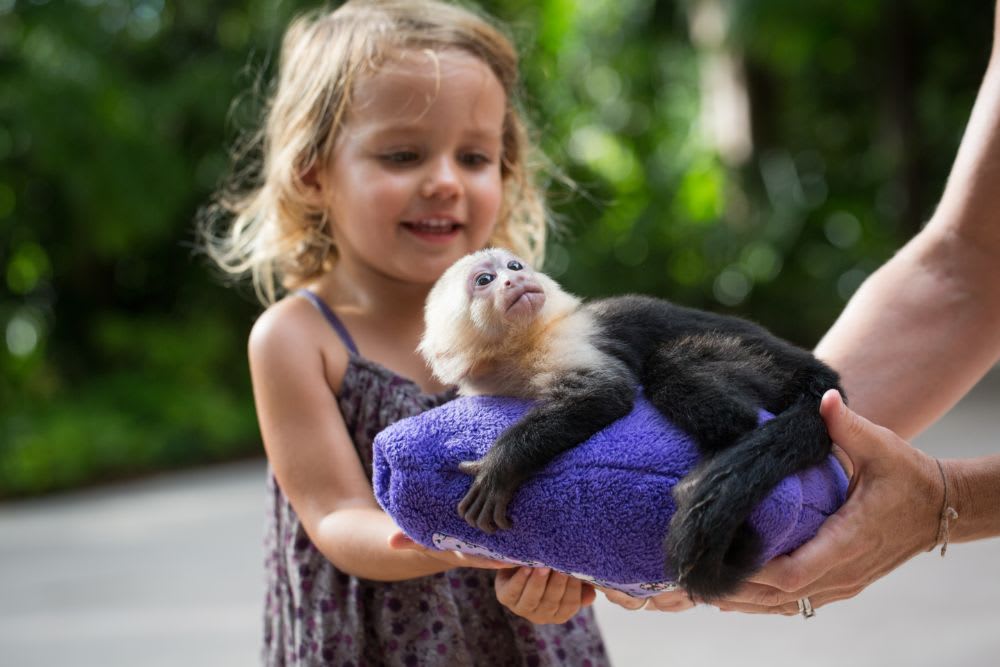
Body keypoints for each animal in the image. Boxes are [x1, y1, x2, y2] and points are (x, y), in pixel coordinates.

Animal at [416, 247, 844, 600]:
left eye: (515, 266)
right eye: (485, 280)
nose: (516, 280)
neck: (518, 352)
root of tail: (816, 374)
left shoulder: (565, 341)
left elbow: (605, 394)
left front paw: (500, 465)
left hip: (768, 369)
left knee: (674, 366)